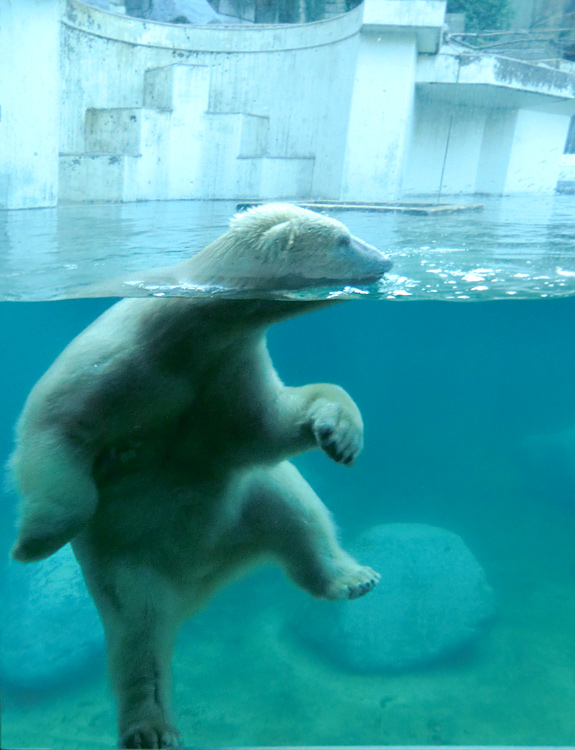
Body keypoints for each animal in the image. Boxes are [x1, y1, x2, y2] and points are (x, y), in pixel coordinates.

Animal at [12, 206, 392, 750]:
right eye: (343, 239)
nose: (386, 260)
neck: (186, 332)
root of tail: (202, 582)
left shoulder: (224, 374)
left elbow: (269, 428)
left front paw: (339, 434)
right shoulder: (116, 365)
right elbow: (55, 434)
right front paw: (33, 542)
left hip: (254, 503)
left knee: (299, 516)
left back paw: (353, 578)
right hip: (129, 570)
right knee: (139, 639)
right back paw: (150, 727)